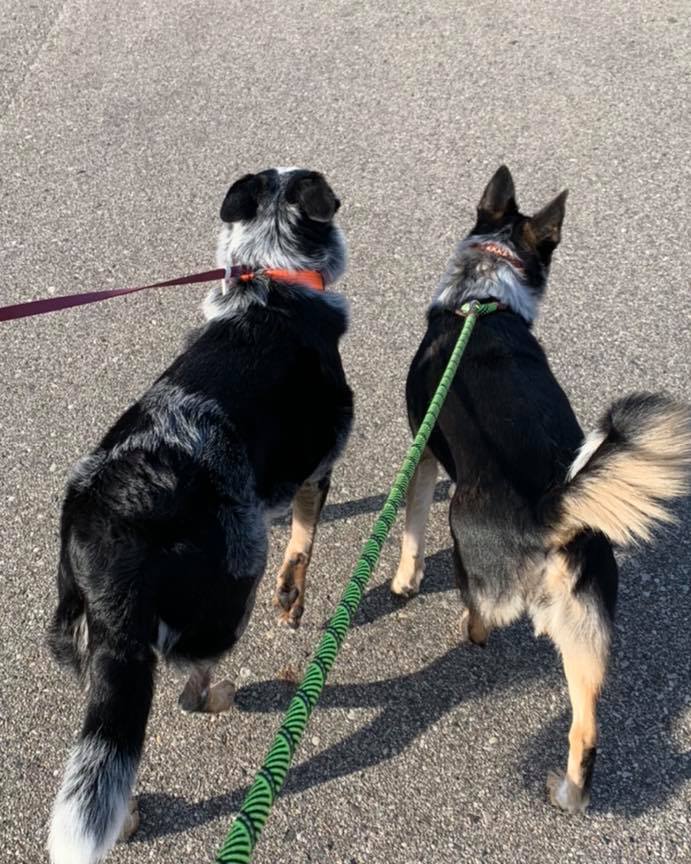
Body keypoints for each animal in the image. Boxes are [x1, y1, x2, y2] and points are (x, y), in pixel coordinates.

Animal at [47, 165, 356, 860]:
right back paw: (224, 693)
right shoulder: (318, 466)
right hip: (233, 582)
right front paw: (294, 602)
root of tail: (109, 537)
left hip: (90, 648)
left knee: (105, 754)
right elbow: (302, 542)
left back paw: (126, 818)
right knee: (192, 687)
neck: (271, 279)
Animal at [394, 169, 691, 816]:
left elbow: (410, 526)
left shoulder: (423, 452)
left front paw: (404, 580)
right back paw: (571, 794)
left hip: (469, 542)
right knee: (586, 732)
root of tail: (550, 514)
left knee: (480, 613)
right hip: (587, 633)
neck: (483, 297)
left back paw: (471, 633)